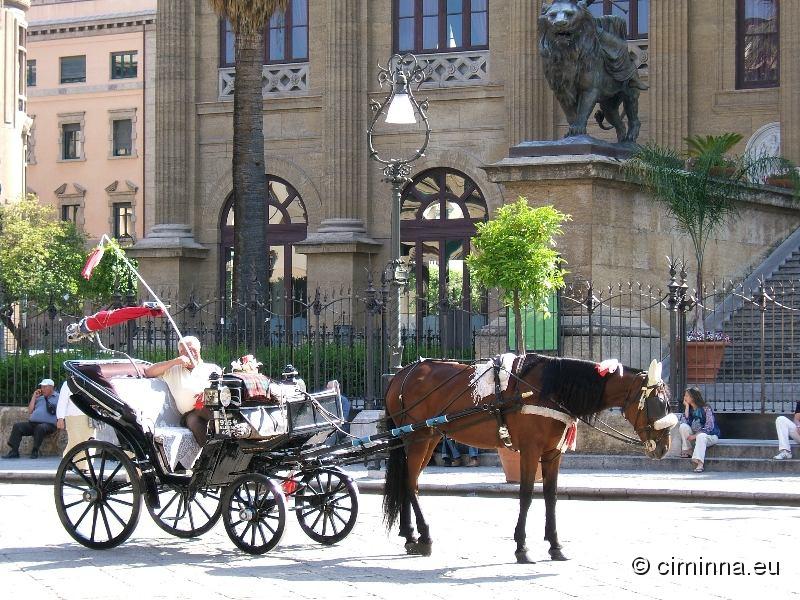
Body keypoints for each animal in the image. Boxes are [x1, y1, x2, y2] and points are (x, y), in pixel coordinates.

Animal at [382, 352, 676, 564]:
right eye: (657, 403)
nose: (664, 447)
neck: (551, 391)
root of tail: (400, 374)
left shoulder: (553, 454)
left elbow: (551, 497)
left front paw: (555, 545)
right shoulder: (530, 450)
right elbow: (525, 495)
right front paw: (522, 547)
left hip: (427, 438)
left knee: (409, 482)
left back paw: (410, 535)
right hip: (418, 437)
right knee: (410, 483)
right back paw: (424, 536)